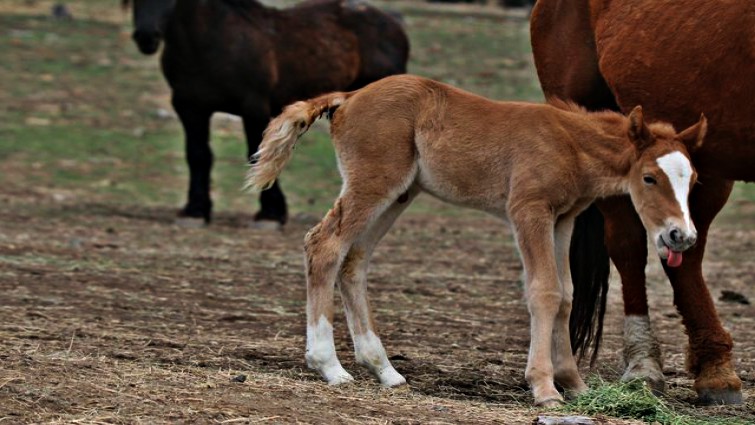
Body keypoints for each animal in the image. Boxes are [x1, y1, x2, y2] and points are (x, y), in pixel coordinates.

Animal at [124, 0, 409, 226]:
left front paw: (270, 214)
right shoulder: (190, 108)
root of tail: (394, 25)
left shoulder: (253, 108)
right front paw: (195, 211)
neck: (213, 43)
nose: (146, 36)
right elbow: (198, 155)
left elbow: (258, 156)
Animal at [244, 74, 706, 406]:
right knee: (324, 244)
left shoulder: (563, 219)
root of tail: (349, 96)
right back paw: (329, 366)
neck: (570, 142)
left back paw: (385, 370)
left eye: (693, 179)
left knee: (354, 259)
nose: (681, 235)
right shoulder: (528, 210)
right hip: (374, 182)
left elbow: (566, 295)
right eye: (649, 177)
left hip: (400, 192)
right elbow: (544, 291)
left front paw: (575, 384)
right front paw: (544, 388)